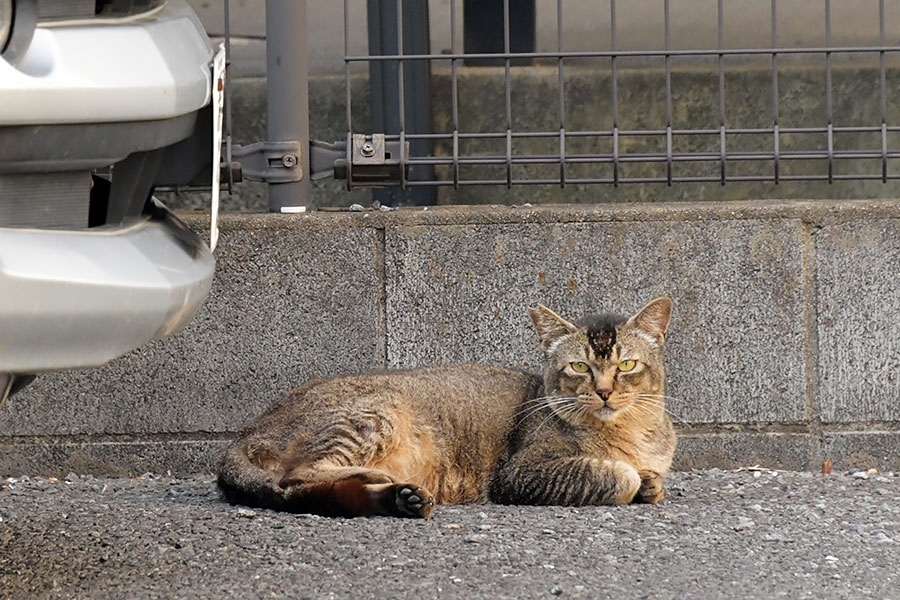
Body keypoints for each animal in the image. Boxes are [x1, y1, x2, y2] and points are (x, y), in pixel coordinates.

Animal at [218, 298, 680, 516]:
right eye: (581, 367)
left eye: (626, 365)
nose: (604, 392)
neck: (629, 433)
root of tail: (249, 431)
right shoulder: (521, 473)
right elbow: (617, 475)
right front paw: (632, 477)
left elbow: (651, 480)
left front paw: (650, 483)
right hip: (373, 414)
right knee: (296, 477)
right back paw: (383, 480)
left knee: (302, 492)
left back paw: (399, 500)